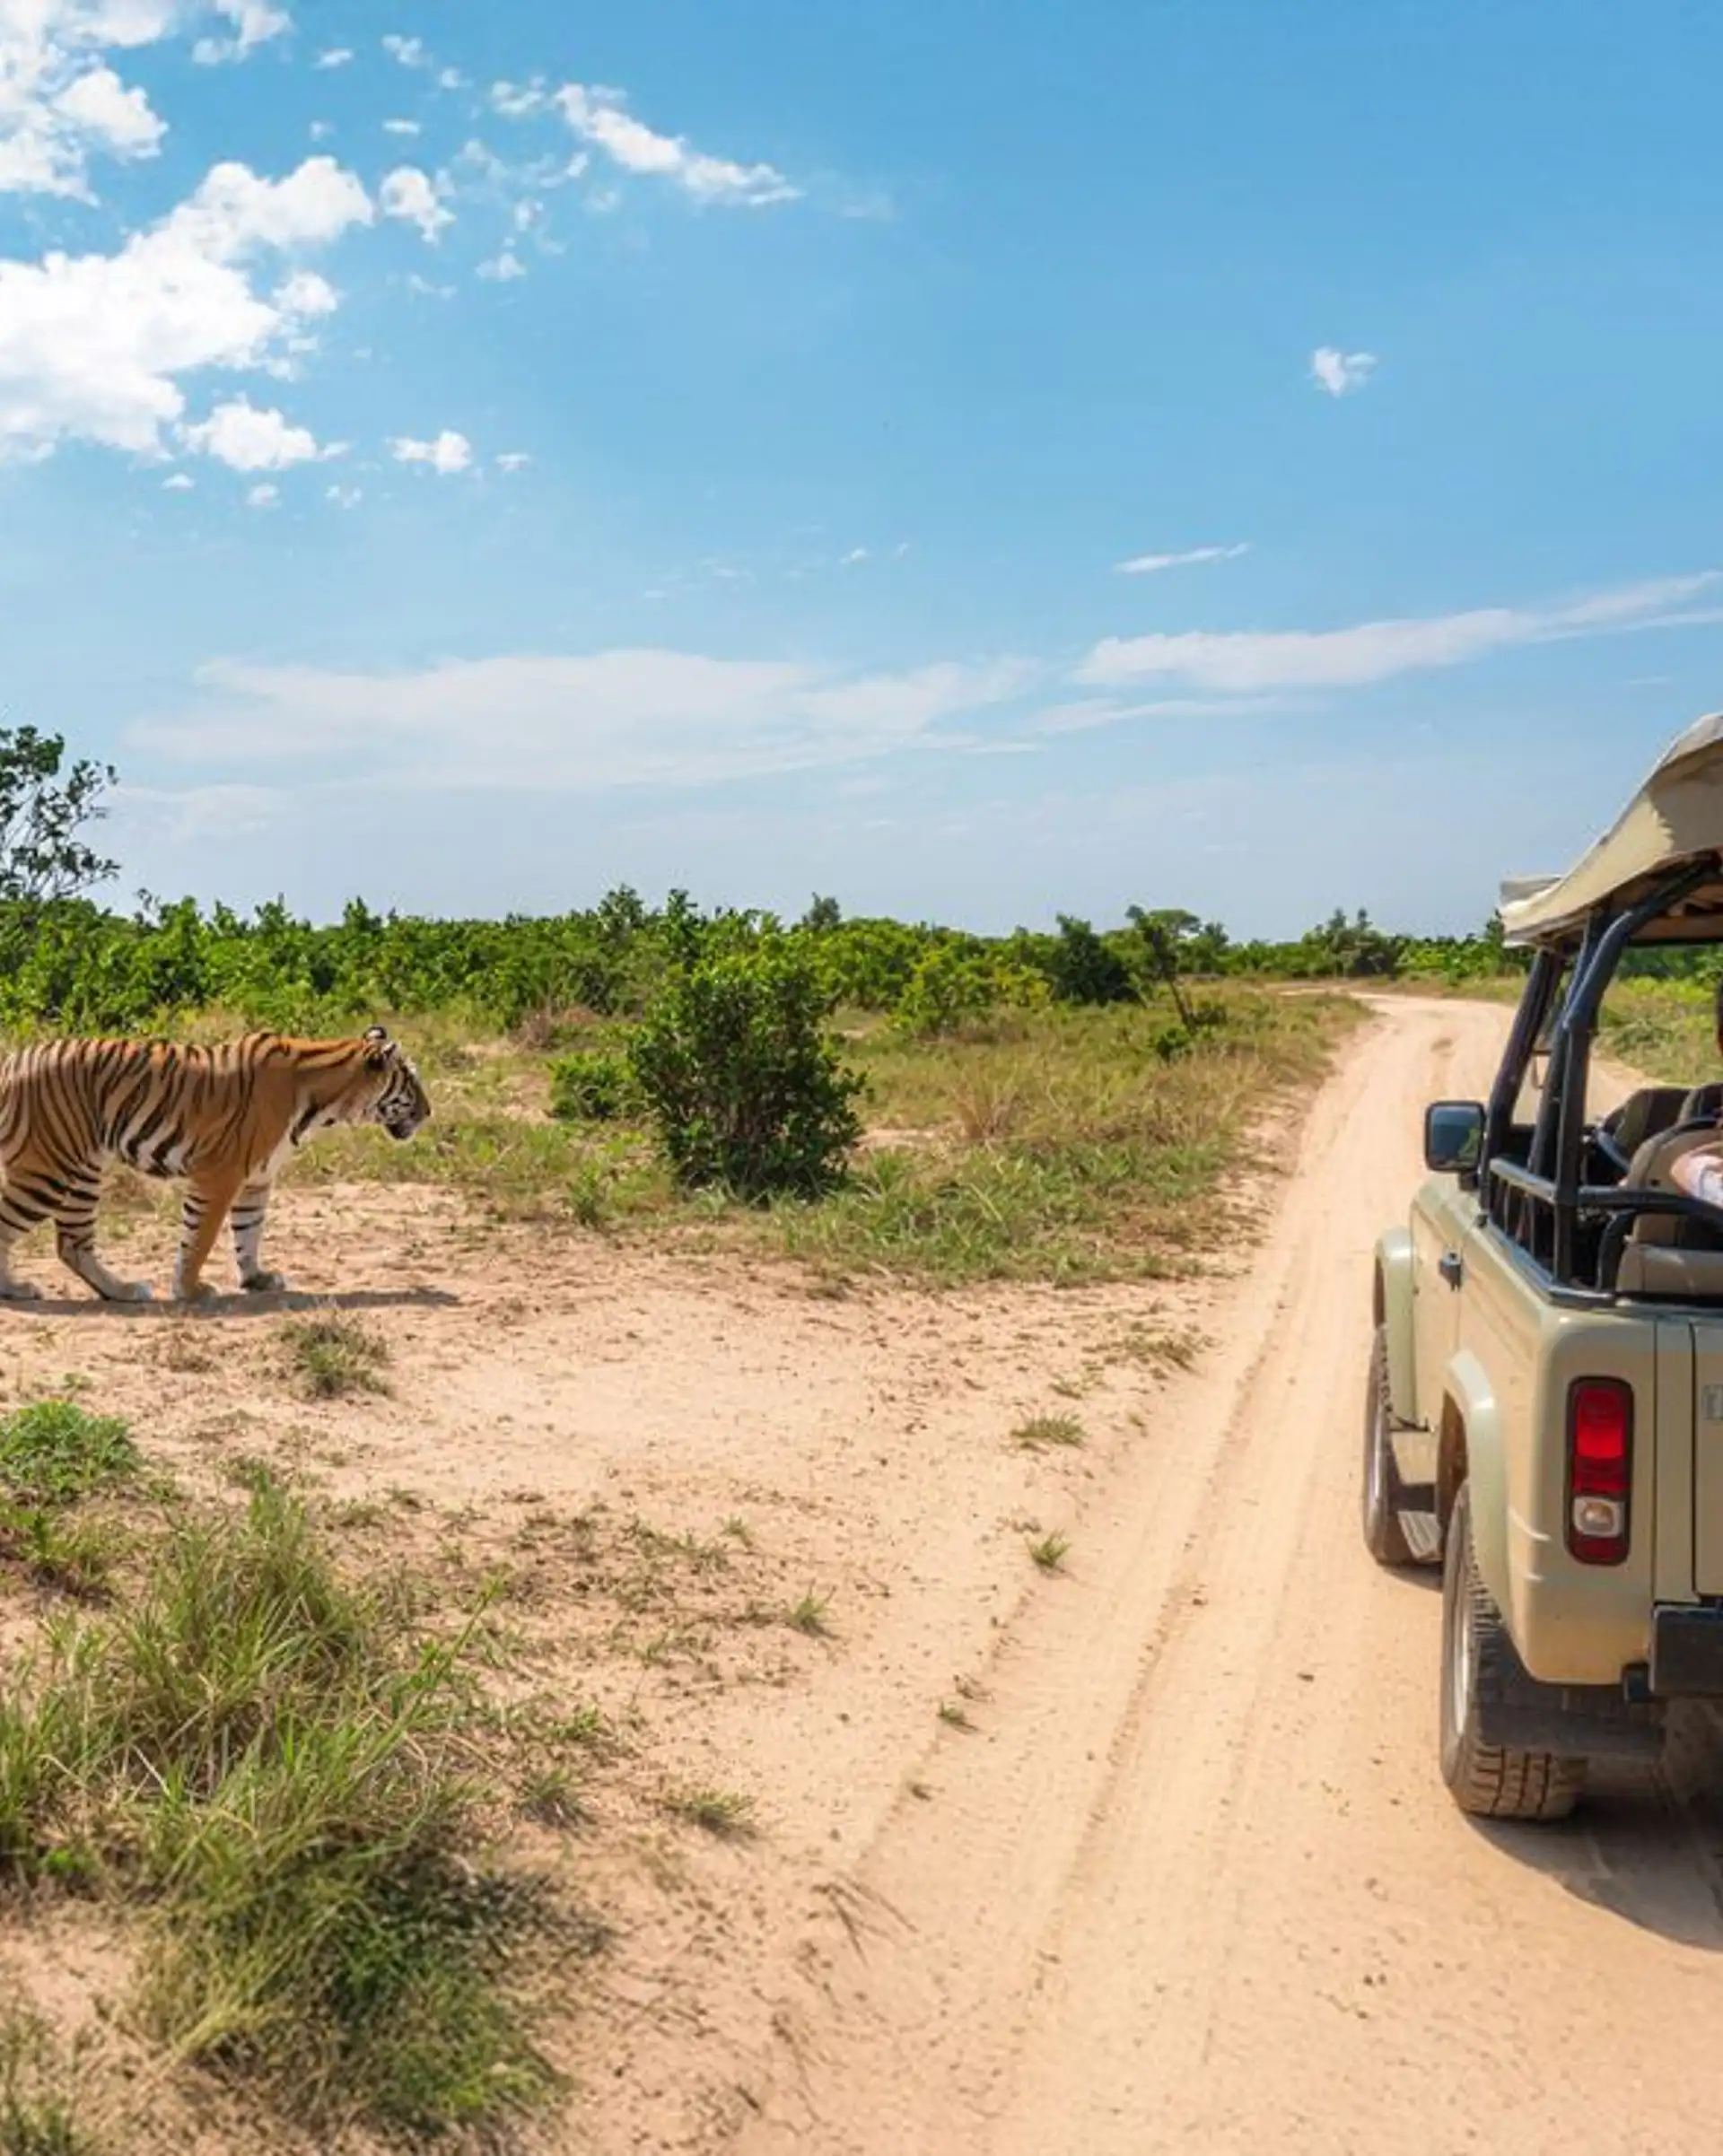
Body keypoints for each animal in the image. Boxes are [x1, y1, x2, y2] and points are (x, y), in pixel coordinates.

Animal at [0, 1025, 431, 1305]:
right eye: (411, 1082)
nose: (429, 1112)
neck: (325, 1105)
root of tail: (12, 1060)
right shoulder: (219, 1174)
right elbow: (200, 1238)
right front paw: (190, 1290)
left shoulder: (258, 1177)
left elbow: (249, 1231)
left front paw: (257, 1278)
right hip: (47, 1169)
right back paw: (16, 1290)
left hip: (83, 1170)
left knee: (73, 1244)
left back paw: (122, 1291)